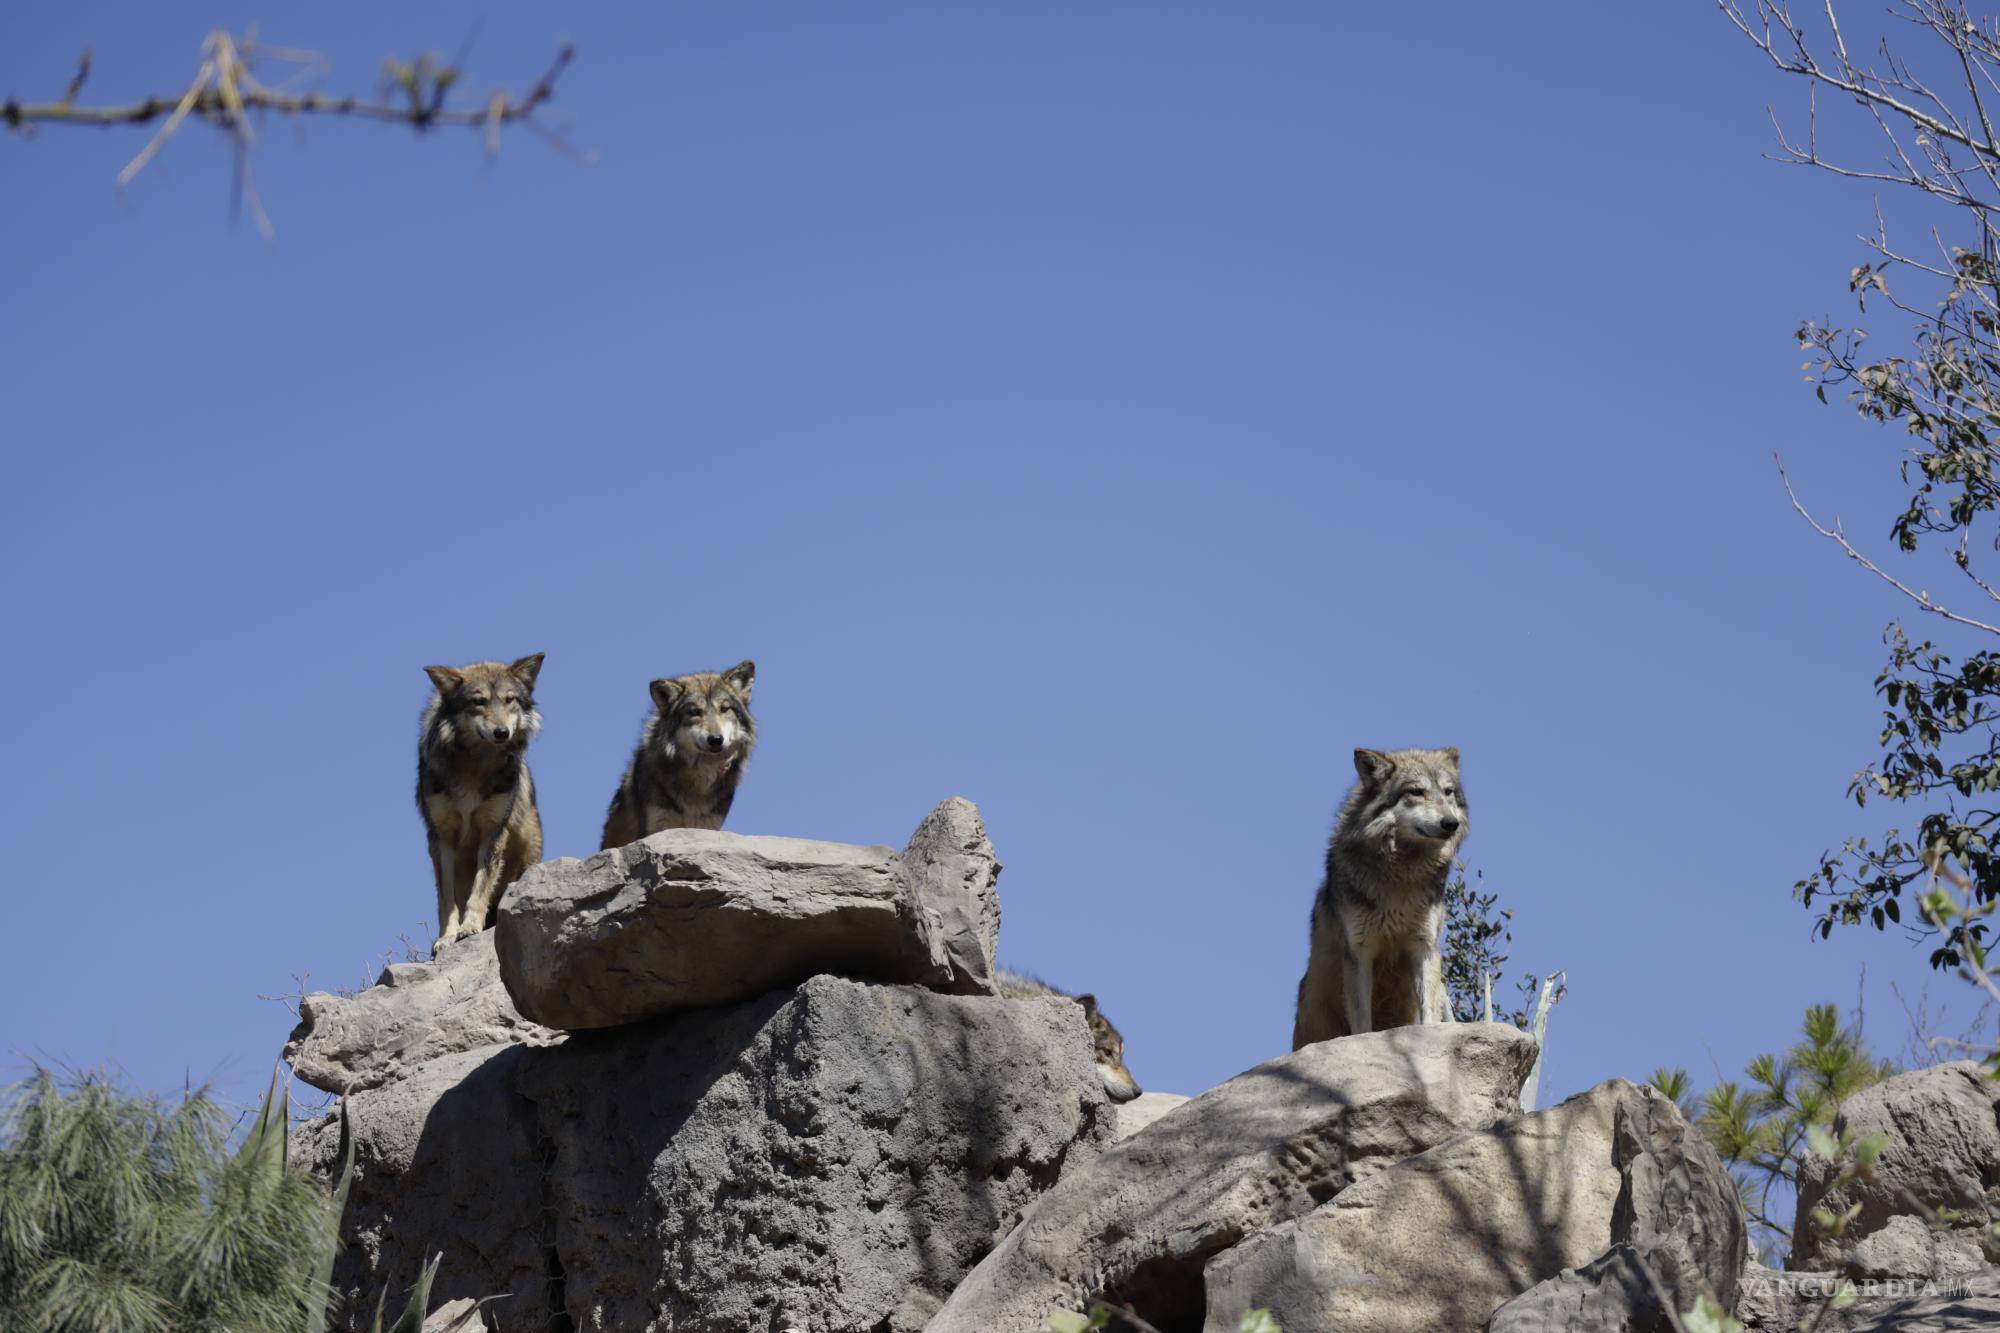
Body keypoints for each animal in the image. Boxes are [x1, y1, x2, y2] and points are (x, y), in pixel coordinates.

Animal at [412, 652, 548, 944]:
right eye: (479, 701)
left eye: (509, 700)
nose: (501, 733)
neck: (475, 763)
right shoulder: (441, 837)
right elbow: (447, 899)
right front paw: (446, 938)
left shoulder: (493, 831)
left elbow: (481, 887)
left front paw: (470, 927)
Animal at [600, 656, 756, 844]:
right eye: (694, 712)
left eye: (724, 709)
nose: (716, 740)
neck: (700, 781)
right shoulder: (657, 828)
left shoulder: (708, 827)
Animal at [1288, 740, 1464, 1040]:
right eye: (1416, 792)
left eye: (1447, 792)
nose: (1450, 823)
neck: (1401, 877)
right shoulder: (1360, 951)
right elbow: (1361, 1023)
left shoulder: (1424, 945)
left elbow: (1429, 1010)